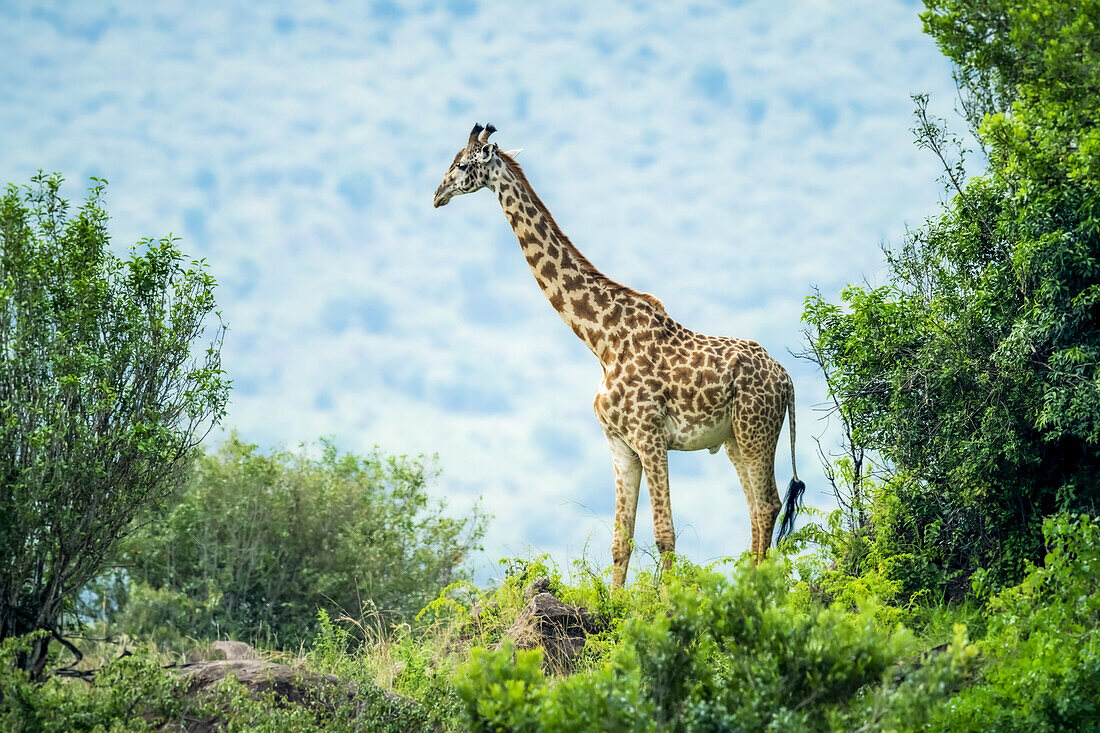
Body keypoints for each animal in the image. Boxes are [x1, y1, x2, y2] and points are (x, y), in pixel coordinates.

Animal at [433, 122, 805, 585]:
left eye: (462, 165)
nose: (437, 194)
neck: (601, 340)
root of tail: (787, 379)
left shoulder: (650, 436)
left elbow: (664, 535)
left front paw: (669, 602)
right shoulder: (620, 444)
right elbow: (619, 542)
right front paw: (615, 602)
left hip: (756, 431)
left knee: (768, 504)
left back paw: (759, 591)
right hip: (737, 437)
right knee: (756, 508)